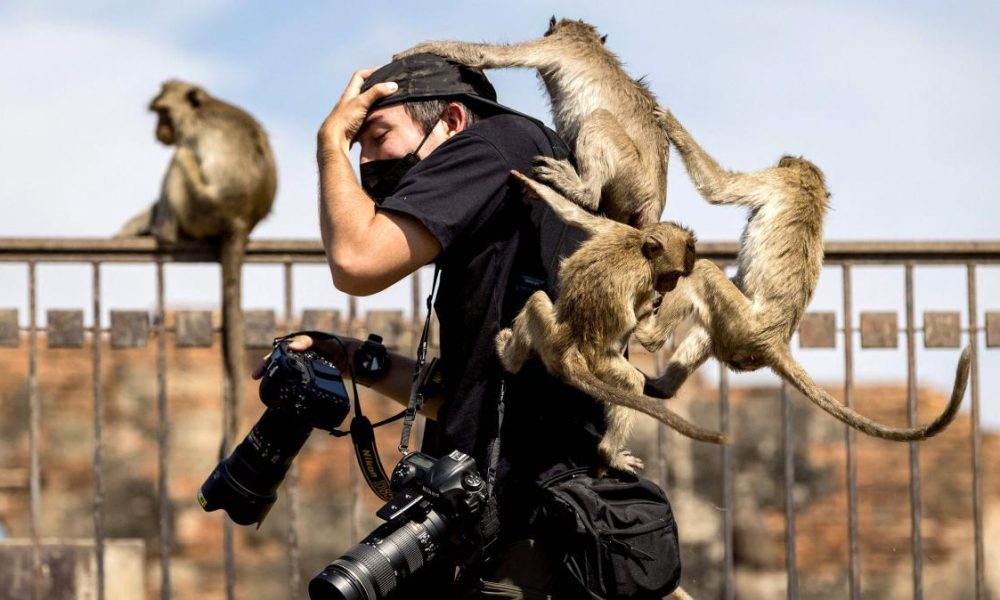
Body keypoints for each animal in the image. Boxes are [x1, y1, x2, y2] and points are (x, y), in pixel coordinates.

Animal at [119, 82, 280, 452]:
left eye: (163, 113)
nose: (159, 131)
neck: (201, 109)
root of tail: (240, 222)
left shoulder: (192, 138)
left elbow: (181, 156)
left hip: (202, 207)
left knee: (179, 159)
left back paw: (163, 232)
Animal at [394, 16, 668, 229]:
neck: (588, 41)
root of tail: (654, 199)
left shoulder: (559, 44)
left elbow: (488, 56)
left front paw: (416, 50)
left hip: (630, 171)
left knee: (599, 119)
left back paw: (583, 191)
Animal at [494, 171, 724, 476]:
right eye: (673, 275)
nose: (671, 286)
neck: (639, 249)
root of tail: (570, 351)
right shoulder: (642, 277)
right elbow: (638, 329)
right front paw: (649, 311)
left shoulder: (615, 230)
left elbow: (573, 215)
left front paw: (537, 188)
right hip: (596, 363)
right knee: (630, 382)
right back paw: (608, 453)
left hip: (549, 337)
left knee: (537, 301)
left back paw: (509, 361)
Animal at [636, 110, 972, 442]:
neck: (810, 186)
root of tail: (774, 342)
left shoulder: (777, 181)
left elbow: (719, 188)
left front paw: (671, 123)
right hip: (737, 333)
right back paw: (661, 387)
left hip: (743, 325)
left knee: (703, 272)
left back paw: (649, 336)